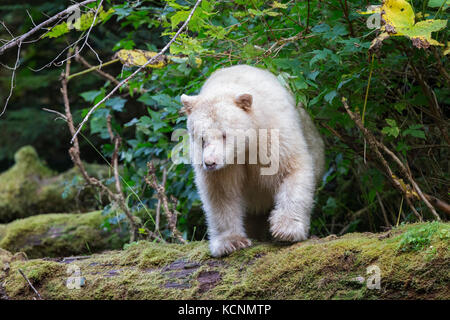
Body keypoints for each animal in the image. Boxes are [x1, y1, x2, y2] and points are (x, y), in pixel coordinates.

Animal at [179, 65, 324, 258]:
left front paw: (286, 229)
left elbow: (291, 170)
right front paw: (231, 242)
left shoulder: (273, 135)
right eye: (202, 138)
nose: (210, 162)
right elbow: (221, 193)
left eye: (224, 134)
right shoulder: (224, 167)